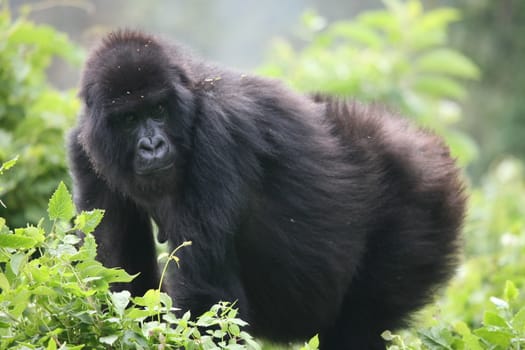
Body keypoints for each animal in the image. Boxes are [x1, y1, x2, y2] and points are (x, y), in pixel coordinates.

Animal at [67, 31, 464, 348]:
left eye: (159, 110)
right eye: (129, 119)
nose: (152, 146)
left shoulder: (219, 131)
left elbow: (205, 299)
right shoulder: (85, 147)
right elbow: (115, 270)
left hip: (422, 203)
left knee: (360, 324)